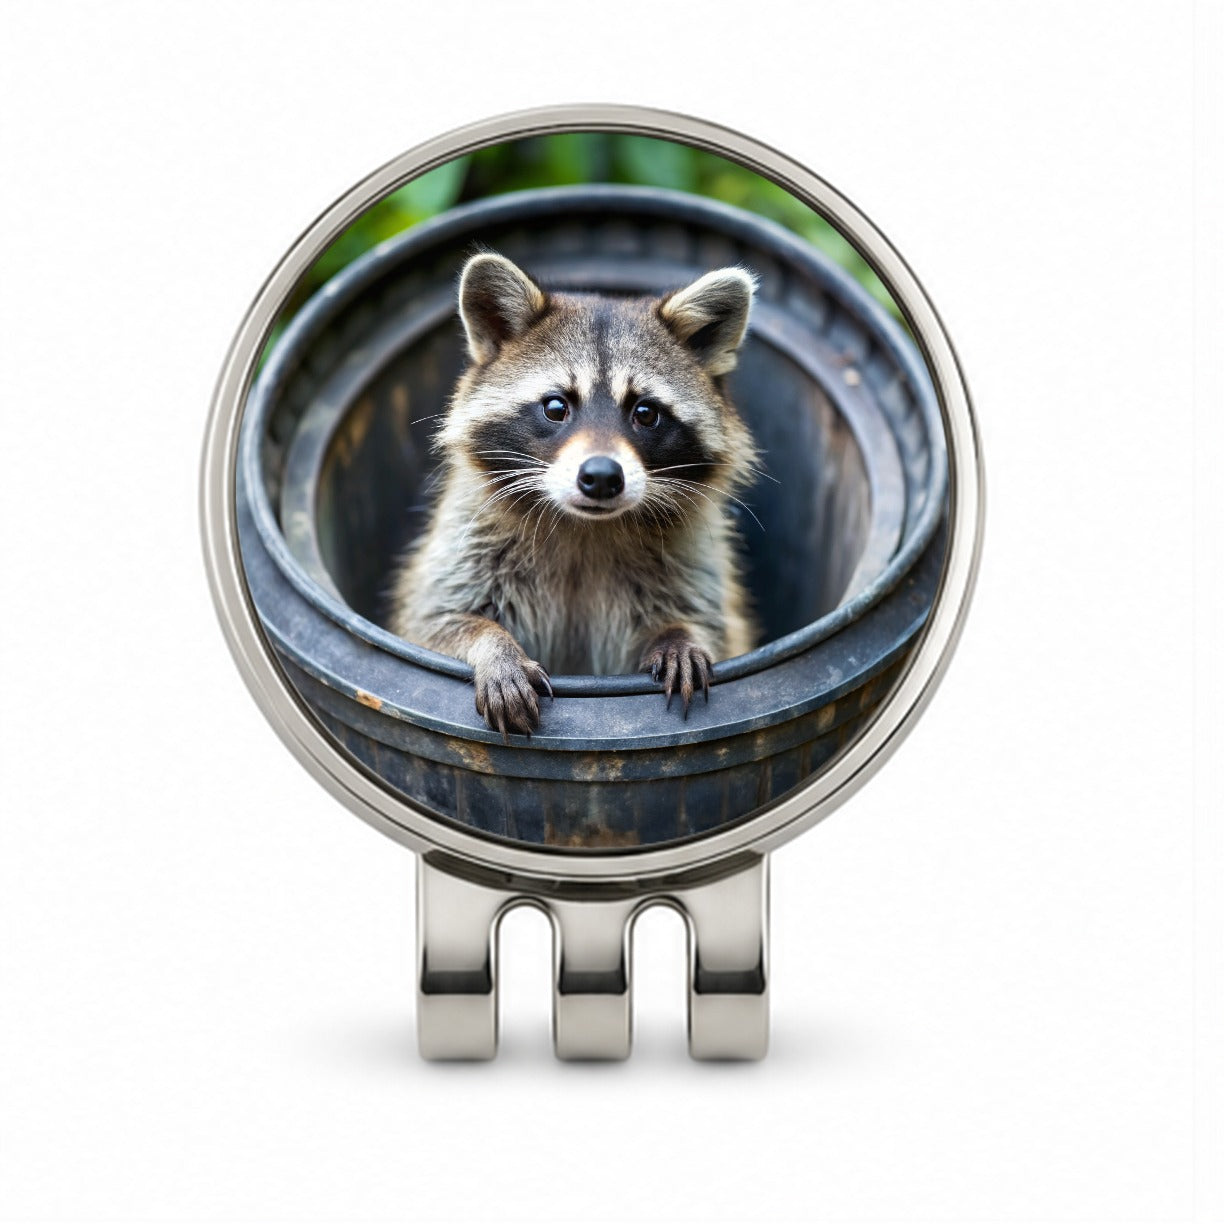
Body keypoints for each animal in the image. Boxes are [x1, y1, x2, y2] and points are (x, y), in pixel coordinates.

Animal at [387, 250, 762, 738]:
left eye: (646, 412)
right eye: (555, 406)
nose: (601, 477)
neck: (586, 527)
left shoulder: (691, 562)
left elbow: (710, 624)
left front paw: (681, 635)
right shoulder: (466, 543)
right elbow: (434, 623)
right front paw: (493, 645)